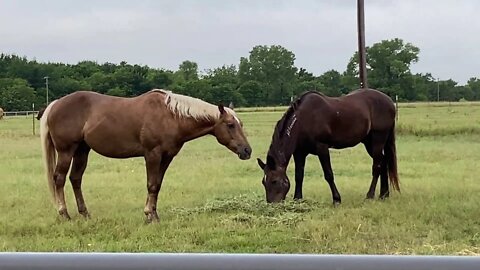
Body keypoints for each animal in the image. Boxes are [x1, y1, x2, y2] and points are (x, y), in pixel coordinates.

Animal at [39, 88, 253, 221]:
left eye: (241, 123)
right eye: (230, 125)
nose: (247, 150)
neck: (170, 116)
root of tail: (56, 104)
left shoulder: (167, 157)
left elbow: (157, 185)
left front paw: (154, 214)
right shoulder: (152, 155)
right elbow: (151, 184)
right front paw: (149, 215)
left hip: (82, 150)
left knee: (75, 179)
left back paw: (85, 214)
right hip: (66, 151)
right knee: (59, 179)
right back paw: (64, 214)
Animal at [256, 89, 400, 205]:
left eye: (274, 181)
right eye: (263, 182)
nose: (272, 203)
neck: (304, 119)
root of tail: (389, 101)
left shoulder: (322, 149)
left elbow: (328, 174)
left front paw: (336, 199)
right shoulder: (300, 153)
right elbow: (299, 175)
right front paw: (298, 199)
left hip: (378, 139)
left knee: (377, 167)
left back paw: (370, 196)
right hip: (369, 142)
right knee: (383, 162)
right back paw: (384, 195)